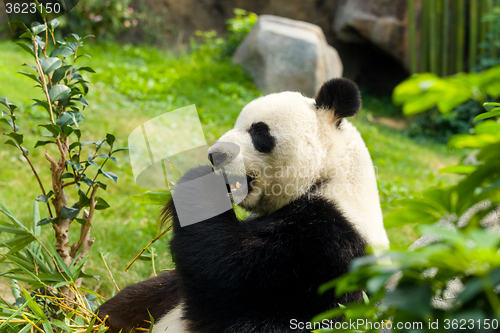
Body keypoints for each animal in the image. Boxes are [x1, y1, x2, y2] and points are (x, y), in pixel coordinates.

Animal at [98, 76, 390, 330]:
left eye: (259, 131)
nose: (215, 155)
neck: (329, 176)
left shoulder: (326, 249)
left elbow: (231, 275)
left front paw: (201, 183)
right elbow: (166, 286)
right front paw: (111, 314)